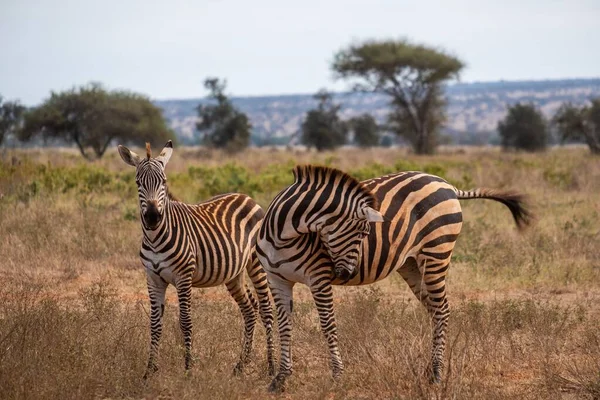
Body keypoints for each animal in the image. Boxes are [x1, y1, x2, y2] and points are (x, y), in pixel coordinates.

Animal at [118, 142, 276, 380]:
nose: (153, 217)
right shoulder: (152, 278)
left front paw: (187, 368)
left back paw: (271, 367)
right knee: (250, 308)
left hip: (256, 262)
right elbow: (154, 324)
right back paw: (241, 364)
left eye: (164, 181)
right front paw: (149, 371)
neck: (155, 238)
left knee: (266, 309)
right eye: (138, 182)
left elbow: (185, 321)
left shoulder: (183, 277)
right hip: (234, 273)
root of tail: (246, 197)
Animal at [255, 164, 532, 392]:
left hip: (437, 252)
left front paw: (336, 376)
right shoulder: (276, 279)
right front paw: (280, 378)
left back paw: (437, 374)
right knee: (434, 310)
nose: (347, 274)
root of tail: (447, 184)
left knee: (442, 309)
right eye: (360, 232)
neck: (283, 236)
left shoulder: (319, 278)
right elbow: (285, 326)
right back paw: (429, 369)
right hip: (411, 265)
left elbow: (328, 325)